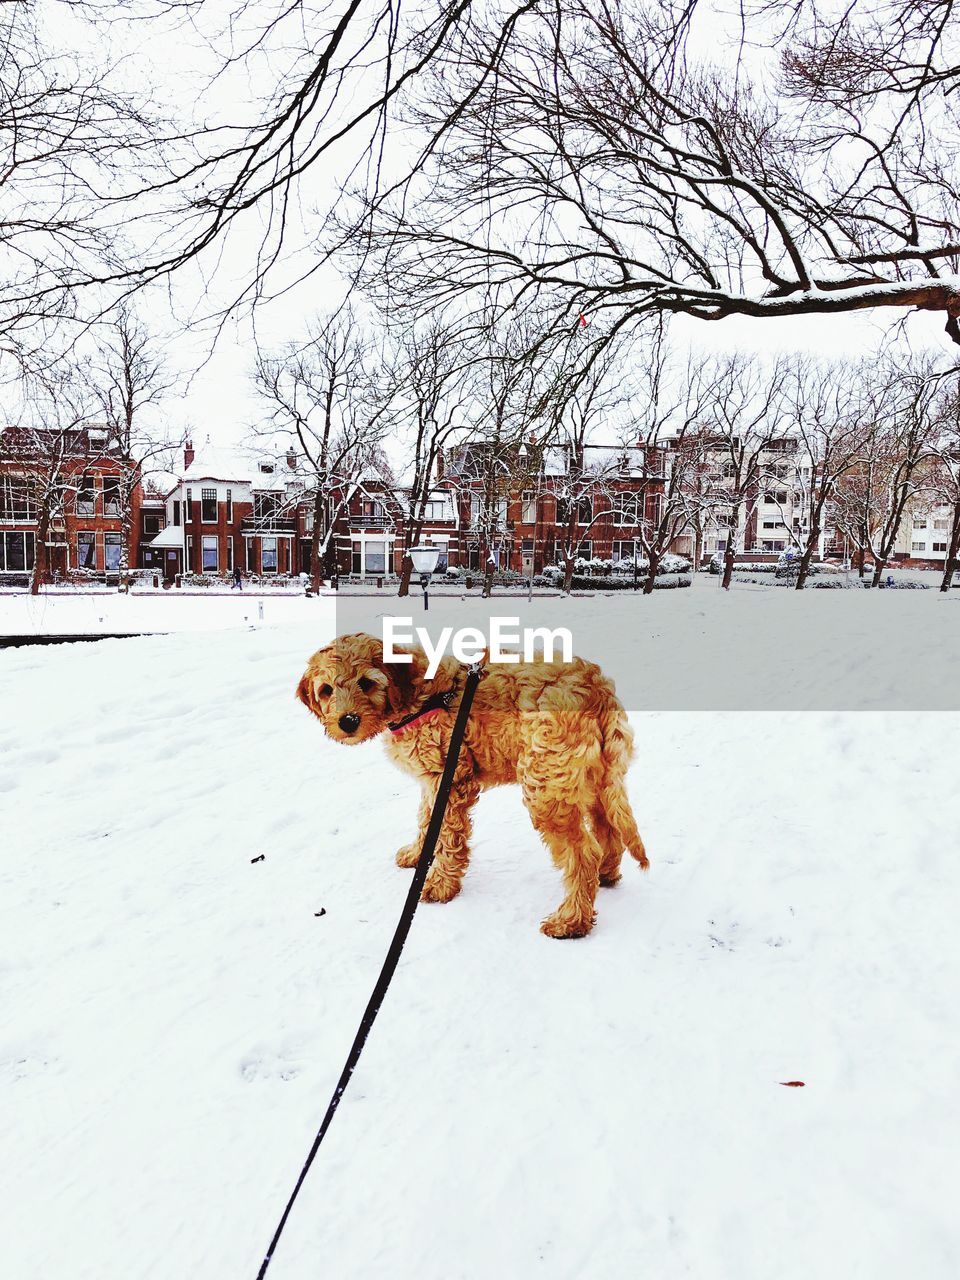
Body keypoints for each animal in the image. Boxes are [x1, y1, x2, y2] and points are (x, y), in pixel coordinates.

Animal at [296, 632, 650, 942]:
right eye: (326, 689)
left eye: (367, 683)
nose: (348, 722)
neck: (417, 696)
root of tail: (596, 687)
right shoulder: (433, 780)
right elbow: (427, 820)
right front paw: (417, 854)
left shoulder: (452, 779)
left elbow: (448, 836)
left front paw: (440, 885)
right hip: (591, 779)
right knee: (607, 829)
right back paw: (605, 875)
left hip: (548, 786)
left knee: (583, 853)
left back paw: (571, 920)